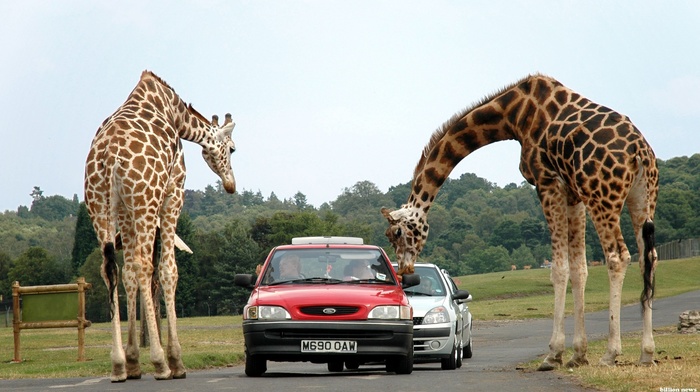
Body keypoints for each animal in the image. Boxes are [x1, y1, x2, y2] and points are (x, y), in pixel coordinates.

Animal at [83, 69, 238, 380]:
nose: (231, 185)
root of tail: (108, 157)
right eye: (233, 149)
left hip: (100, 205)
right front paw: (176, 360)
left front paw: (132, 360)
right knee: (146, 266)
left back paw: (118, 365)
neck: (176, 113)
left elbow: (129, 274)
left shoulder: (125, 211)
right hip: (146, 200)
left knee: (111, 268)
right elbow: (168, 270)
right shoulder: (173, 191)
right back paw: (161, 363)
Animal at [380, 73, 660, 370]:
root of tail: (640, 152)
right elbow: (579, 269)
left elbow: (559, 269)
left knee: (617, 256)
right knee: (648, 258)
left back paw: (611, 353)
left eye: (396, 233)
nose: (405, 271)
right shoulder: (573, 193)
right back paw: (647, 352)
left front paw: (553, 354)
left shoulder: (547, 182)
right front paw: (578, 354)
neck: (513, 116)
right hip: (642, 197)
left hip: (602, 196)